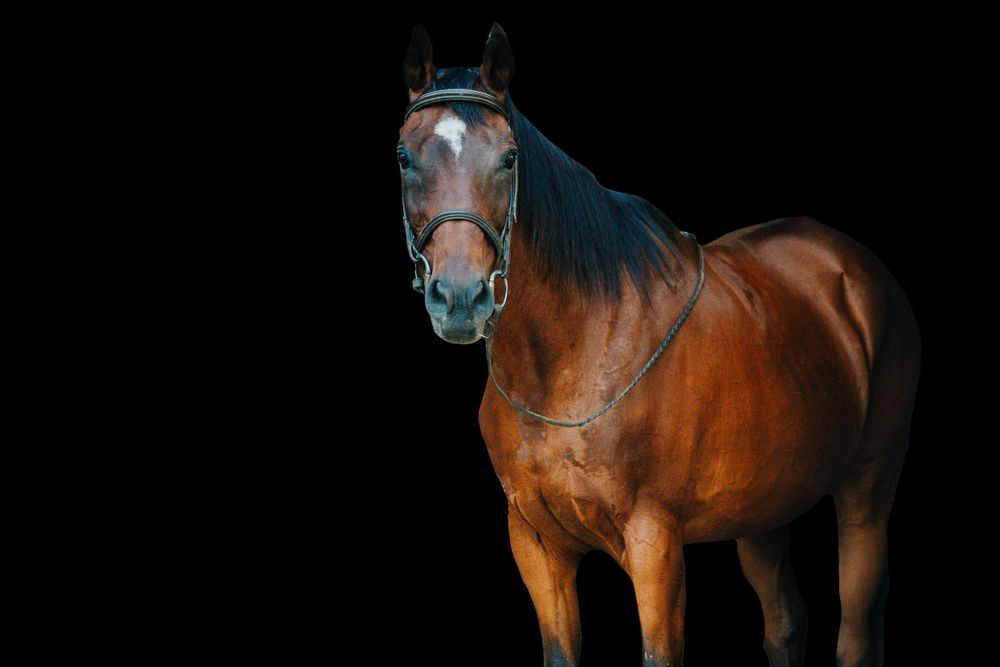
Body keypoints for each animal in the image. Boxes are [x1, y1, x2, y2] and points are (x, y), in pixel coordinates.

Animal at [396, 23, 920, 667]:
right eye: (404, 156)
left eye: (510, 157)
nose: (460, 298)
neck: (573, 356)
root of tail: (858, 271)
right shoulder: (536, 543)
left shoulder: (655, 543)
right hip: (764, 509)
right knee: (785, 623)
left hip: (866, 492)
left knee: (857, 628)